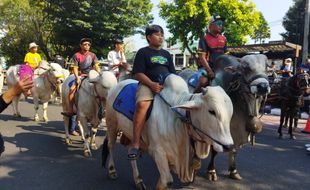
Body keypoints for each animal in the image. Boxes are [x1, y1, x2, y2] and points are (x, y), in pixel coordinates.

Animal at [103, 74, 234, 190]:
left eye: (230, 112)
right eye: (212, 111)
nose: (229, 146)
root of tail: (119, 84)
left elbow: (163, 182)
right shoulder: (157, 152)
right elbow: (167, 182)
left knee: (131, 151)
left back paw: (138, 180)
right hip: (111, 124)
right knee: (111, 146)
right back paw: (112, 170)